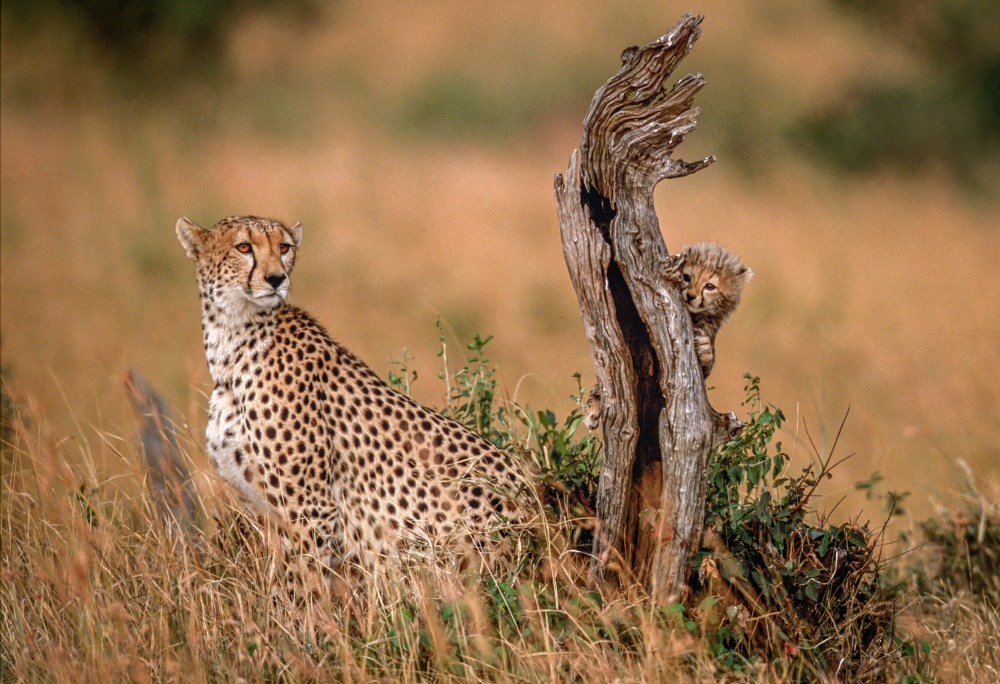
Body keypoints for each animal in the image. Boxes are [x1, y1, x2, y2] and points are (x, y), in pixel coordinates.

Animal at [176, 215, 531, 593]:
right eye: (243, 247)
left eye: (283, 247)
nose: (276, 279)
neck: (232, 343)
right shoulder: (265, 509)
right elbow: (280, 582)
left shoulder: (310, 508)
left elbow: (302, 585)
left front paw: (305, 610)